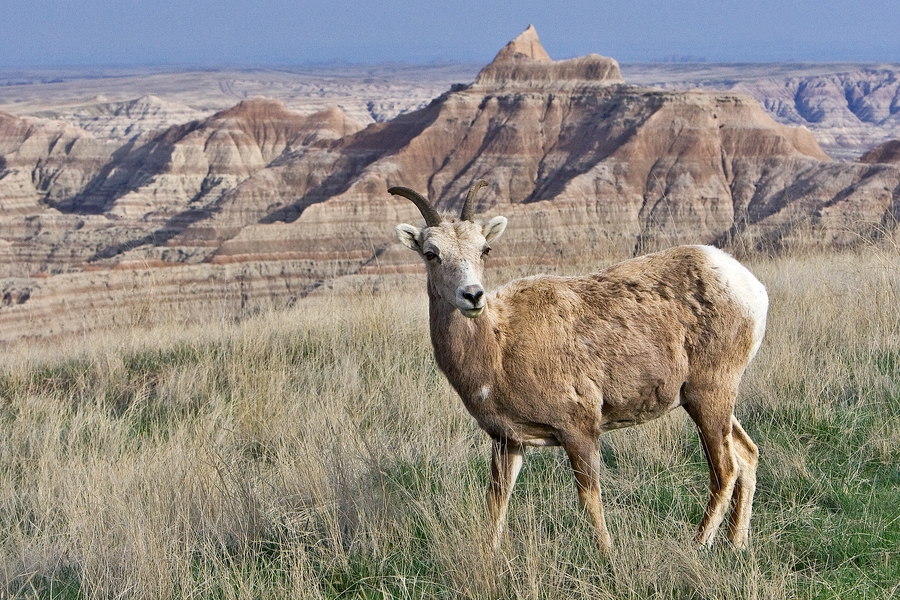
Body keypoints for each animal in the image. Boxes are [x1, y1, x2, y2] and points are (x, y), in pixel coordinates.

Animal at [386, 179, 768, 552]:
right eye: (431, 253)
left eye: (484, 249)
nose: (473, 295)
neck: (499, 347)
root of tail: (750, 288)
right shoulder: (507, 441)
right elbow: (496, 503)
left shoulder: (579, 430)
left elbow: (589, 500)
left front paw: (608, 557)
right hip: (706, 400)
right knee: (747, 455)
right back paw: (736, 544)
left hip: (709, 394)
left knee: (726, 468)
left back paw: (698, 545)